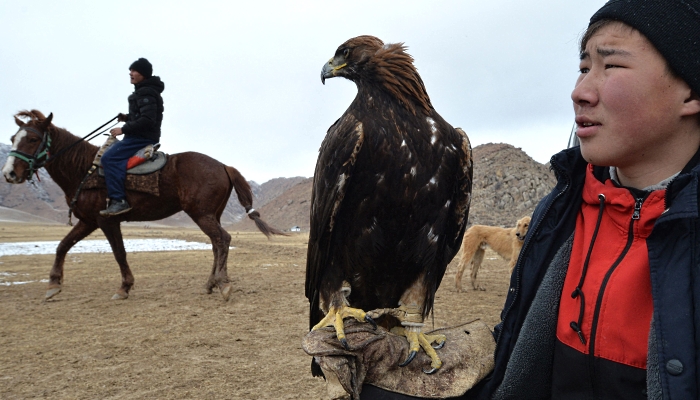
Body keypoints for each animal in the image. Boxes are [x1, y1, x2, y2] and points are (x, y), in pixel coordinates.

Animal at [3, 109, 284, 300]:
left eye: (32, 140)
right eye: (13, 137)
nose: (9, 173)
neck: (84, 170)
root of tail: (224, 165)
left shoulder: (106, 219)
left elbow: (119, 253)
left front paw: (124, 287)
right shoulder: (88, 221)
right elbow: (63, 245)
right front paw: (53, 285)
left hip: (201, 213)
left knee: (222, 239)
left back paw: (223, 283)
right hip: (210, 214)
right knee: (216, 243)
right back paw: (210, 283)